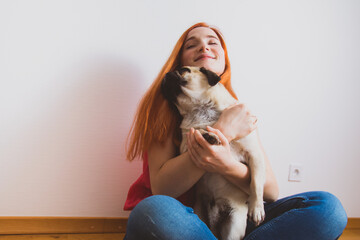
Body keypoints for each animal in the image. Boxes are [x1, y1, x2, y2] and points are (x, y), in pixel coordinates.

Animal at [162, 66, 266, 240]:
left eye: (183, 70)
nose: (165, 75)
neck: (201, 110)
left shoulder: (255, 155)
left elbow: (256, 183)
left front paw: (257, 208)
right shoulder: (185, 146)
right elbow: (195, 132)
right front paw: (208, 134)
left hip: (234, 224)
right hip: (200, 212)